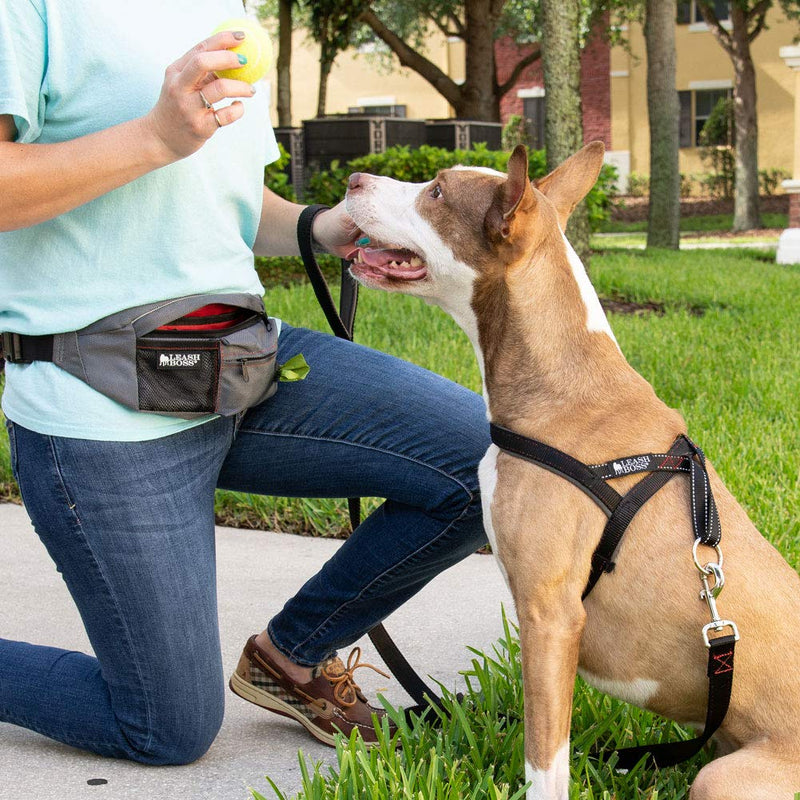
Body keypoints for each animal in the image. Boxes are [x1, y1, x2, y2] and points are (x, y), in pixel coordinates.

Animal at [342, 144, 800, 800]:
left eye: (436, 192)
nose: (353, 177)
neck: (562, 382)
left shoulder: (550, 615)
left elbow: (544, 760)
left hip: (726, 779)